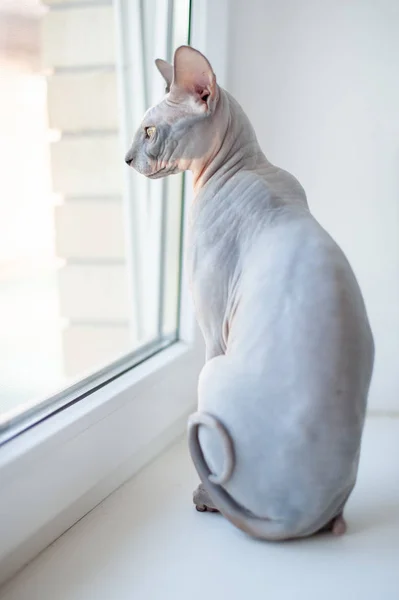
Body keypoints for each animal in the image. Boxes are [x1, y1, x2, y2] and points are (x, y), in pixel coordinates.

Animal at [126, 45, 376, 540]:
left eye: (148, 131)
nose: (125, 158)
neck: (244, 167)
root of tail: (298, 520)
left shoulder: (212, 329)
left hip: (212, 371)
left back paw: (207, 498)